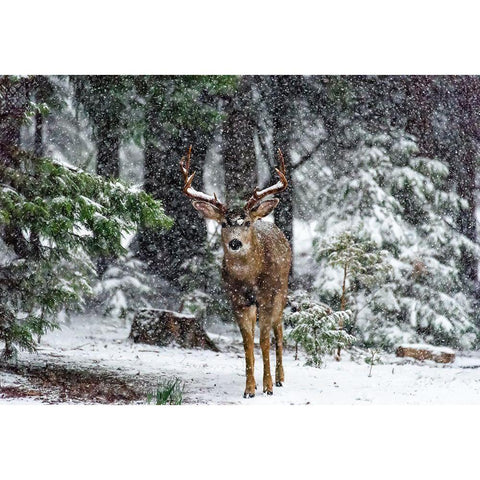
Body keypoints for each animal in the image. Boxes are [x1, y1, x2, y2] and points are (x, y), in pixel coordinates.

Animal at [181, 145, 290, 398]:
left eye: (247, 223)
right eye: (223, 223)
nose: (235, 243)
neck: (249, 279)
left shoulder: (267, 296)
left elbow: (264, 340)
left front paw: (268, 386)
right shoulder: (237, 300)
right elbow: (248, 342)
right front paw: (249, 388)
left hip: (282, 290)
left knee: (279, 331)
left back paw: (280, 378)